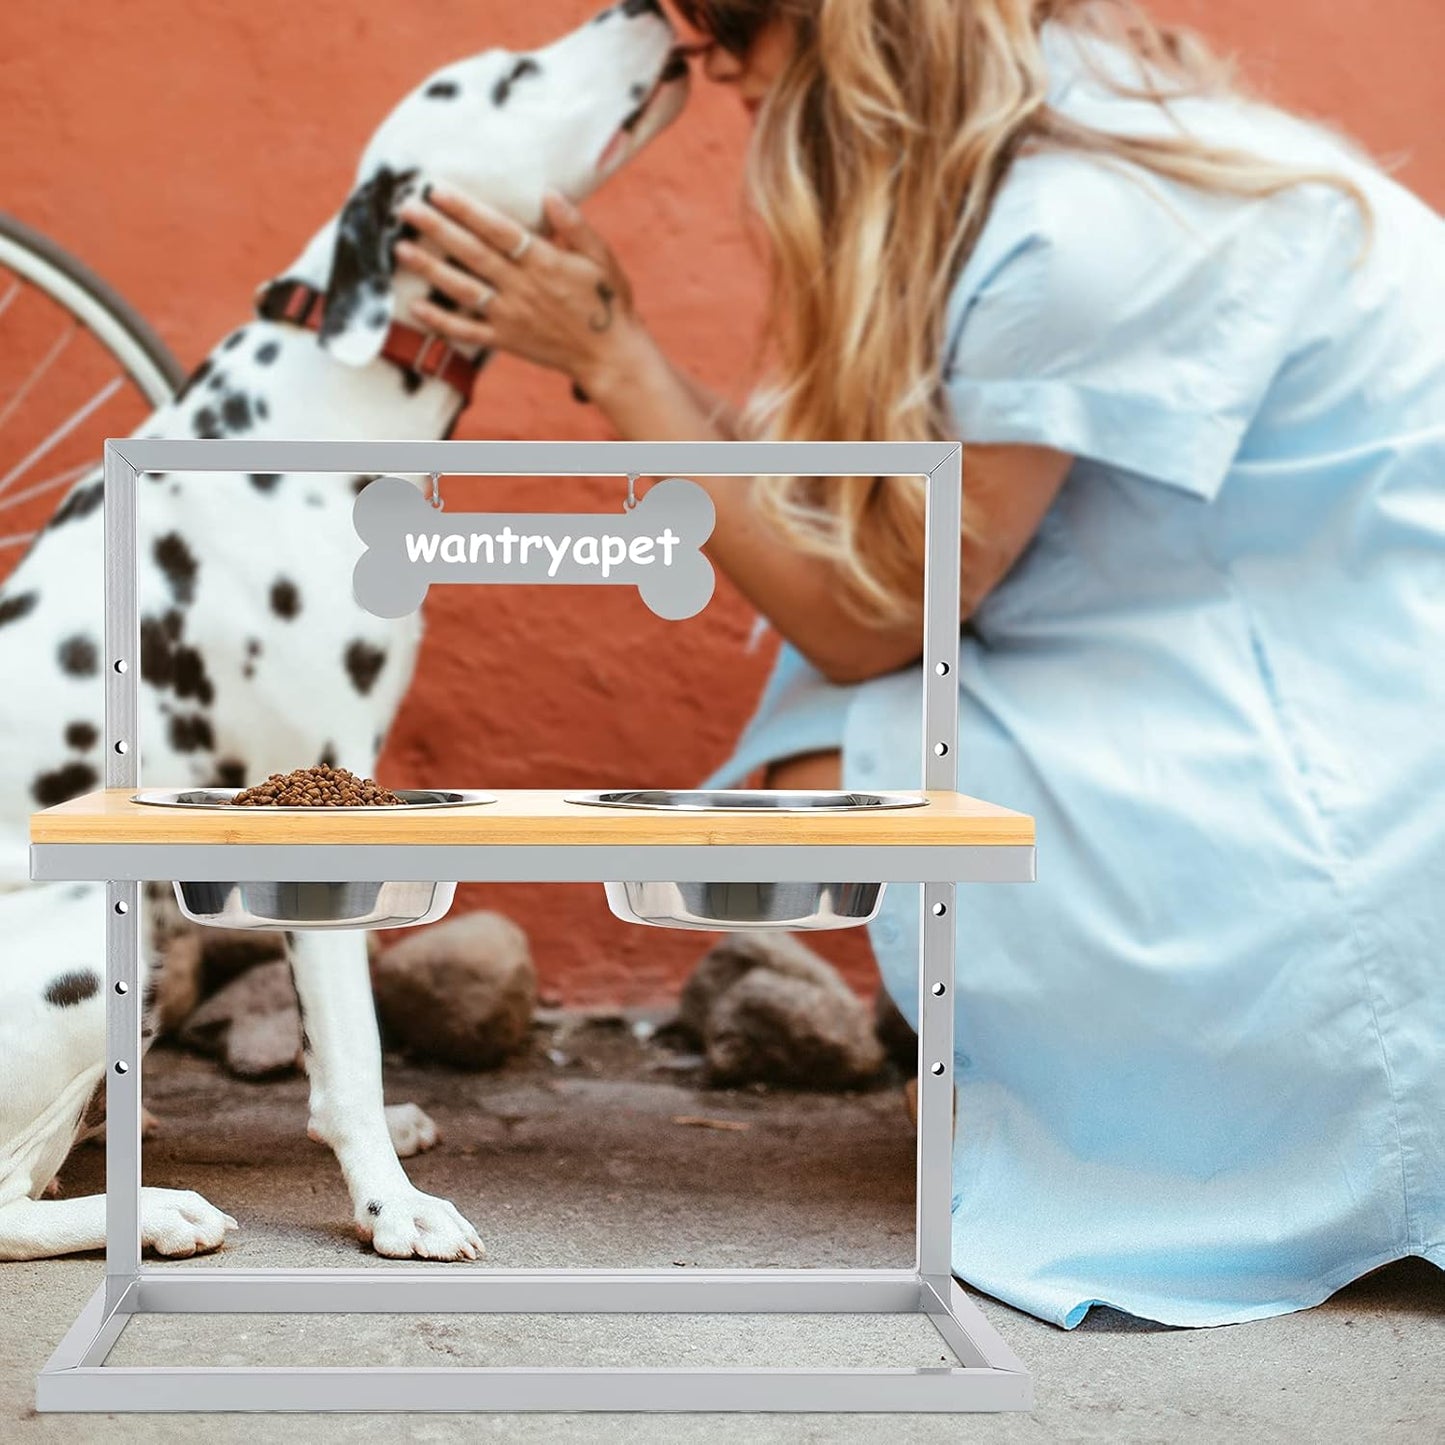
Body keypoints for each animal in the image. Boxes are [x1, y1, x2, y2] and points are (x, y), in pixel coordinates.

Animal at [0, 0, 684, 1260]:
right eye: (506, 79)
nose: (648, 7)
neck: (318, 404)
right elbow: (353, 1046)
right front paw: (392, 1209)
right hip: (91, 937)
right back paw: (152, 1205)